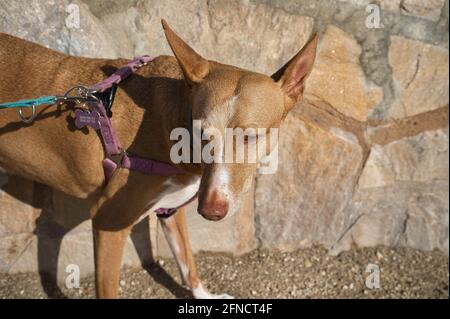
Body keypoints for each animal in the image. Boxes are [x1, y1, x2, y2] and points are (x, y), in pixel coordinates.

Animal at [0, 20, 316, 300]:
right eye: (201, 132)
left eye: (251, 136)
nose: (210, 211)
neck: (172, 116)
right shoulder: (108, 222)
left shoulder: (171, 209)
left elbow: (188, 263)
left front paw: (205, 295)